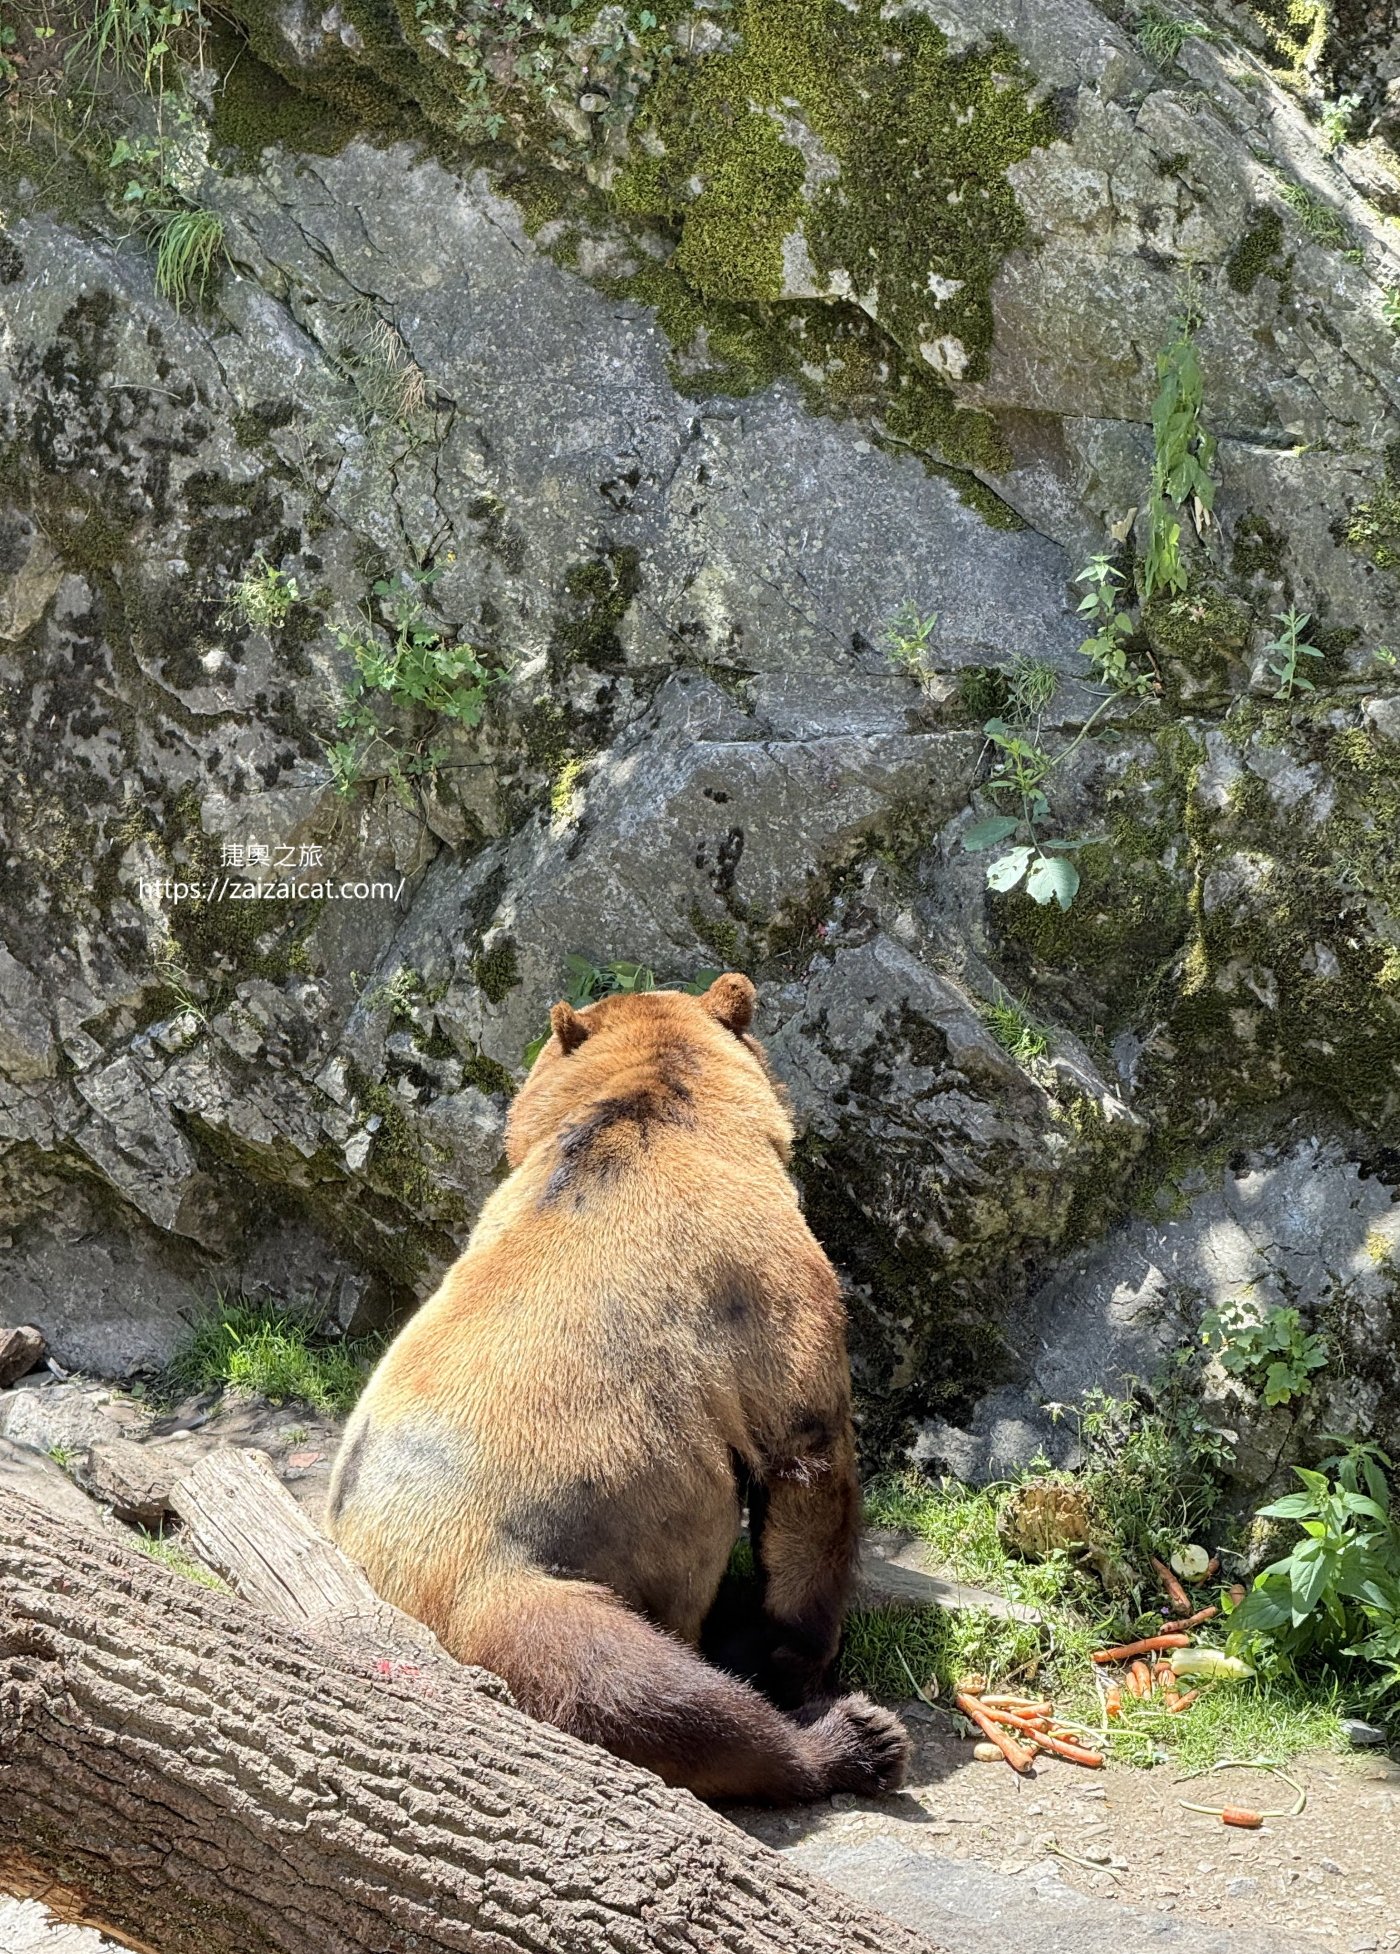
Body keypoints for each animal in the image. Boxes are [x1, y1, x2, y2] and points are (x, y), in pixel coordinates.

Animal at [326, 971, 909, 1803]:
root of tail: (391, 1597)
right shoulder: (764, 1283)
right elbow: (809, 1464)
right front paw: (799, 1659)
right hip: (518, 1579)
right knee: (652, 1694)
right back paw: (850, 1740)